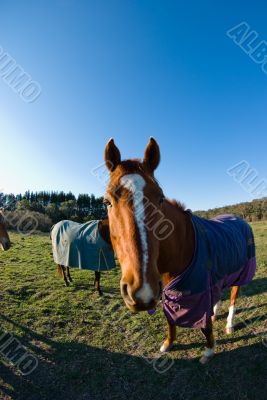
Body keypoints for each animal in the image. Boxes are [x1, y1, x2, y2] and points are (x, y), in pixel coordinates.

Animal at [103, 139, 256, 364]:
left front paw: (209, 350)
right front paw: (168, 344)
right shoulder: (169, 291)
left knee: (234, 298)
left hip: (239, 274)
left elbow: (204, 325)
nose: (141, 290)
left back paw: (229, 324)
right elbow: (170, 319)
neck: (183, 246)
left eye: (160, 198)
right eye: (107, 201)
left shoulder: (200, 289)